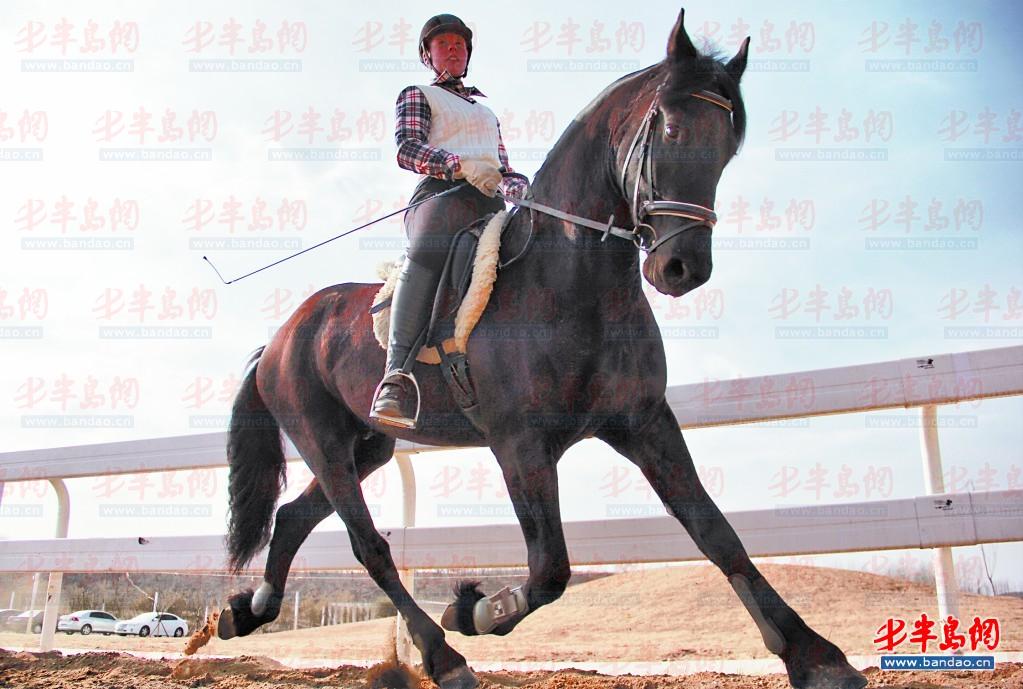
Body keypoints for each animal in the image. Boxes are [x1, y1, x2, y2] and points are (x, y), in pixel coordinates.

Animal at [217, 10, 867, 689]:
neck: (574, 283)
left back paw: (247, 611)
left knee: (293, 517)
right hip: (321, 442)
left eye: (727, 144)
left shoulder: (644, 422)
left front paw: (816, 655)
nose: (682, 268)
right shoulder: (520, 445)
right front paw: (472, 609)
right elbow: (550, 568)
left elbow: (717, 532)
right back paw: (444, 657)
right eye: (668, 126)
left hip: (364, 445)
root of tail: (280, 337)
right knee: (369, 546)